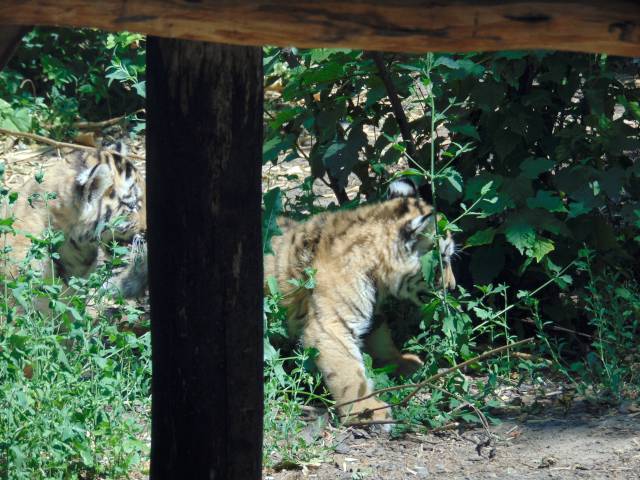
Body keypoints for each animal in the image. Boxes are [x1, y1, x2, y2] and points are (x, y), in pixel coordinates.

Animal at [264, 179, 456, 428]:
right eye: (443, 260)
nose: (452, 287)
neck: (377, 272)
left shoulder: (373, 314)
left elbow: (382, 341)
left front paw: (404, 363)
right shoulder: (330, 326)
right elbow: (349, 374)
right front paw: (367, 411)